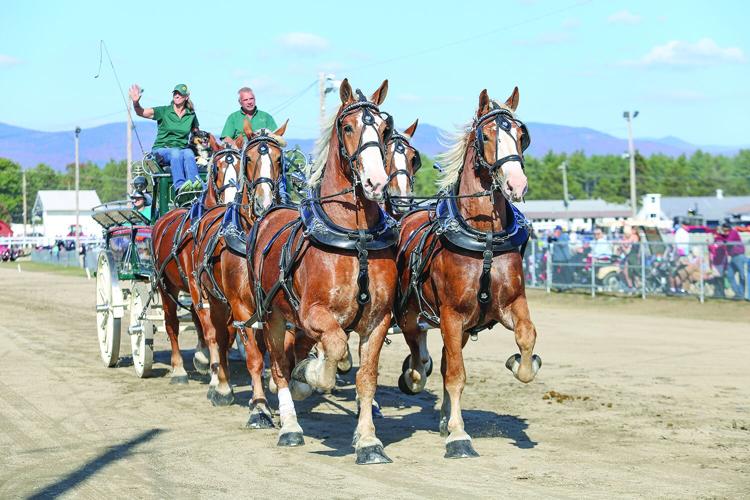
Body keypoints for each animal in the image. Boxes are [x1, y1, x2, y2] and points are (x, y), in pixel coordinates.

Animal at [150, 134, 244, 383]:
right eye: (218, 168)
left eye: (241, 165)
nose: (230, 199)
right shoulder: (195, 281)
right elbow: (211, 328)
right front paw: (215, 372)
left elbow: (226, 330)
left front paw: (213, 364)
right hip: (166, 286)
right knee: (171, 324)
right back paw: (179, 369)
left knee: (195, 317)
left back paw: (201, 357)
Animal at [189, 121, 289, 423]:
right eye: (250, 159)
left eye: (279, 160)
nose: (264, 203)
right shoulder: (241, 306)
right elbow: (253, 356)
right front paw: (259, 406)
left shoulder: (266, 306)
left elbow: (268, 350)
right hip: (206, 297)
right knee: (214, 336)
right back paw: (219, 384)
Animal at [247, 79, 397, 464]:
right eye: (348, 127)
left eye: (385, 129)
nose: (376, 181)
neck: (356, 238)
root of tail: (270, 212)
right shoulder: (313, 313)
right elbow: (335, 345)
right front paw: (314, 375)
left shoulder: (378, 320)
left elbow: (366, 378)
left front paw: (368, 441)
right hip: (271, 315)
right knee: (278, 366)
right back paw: (289, 425)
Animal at [393, 87, 541, 459]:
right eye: (486, 136)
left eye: (521, 135)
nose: (516, 183)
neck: (484, 237)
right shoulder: (451, 314)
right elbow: (456, 376)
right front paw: (459, 436)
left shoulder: (510, 304)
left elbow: (526, 337)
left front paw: (521, 364)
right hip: (410, 313)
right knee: (419, 354)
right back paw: (414, 377)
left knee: (444, 359)